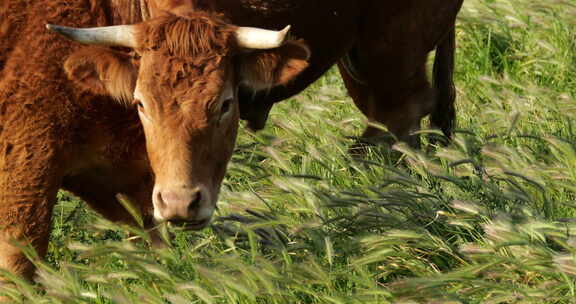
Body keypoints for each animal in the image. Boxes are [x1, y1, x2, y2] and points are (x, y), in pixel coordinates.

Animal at [0, 0, 460, 280]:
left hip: (391, 48)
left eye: (225, 103)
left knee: (399, 121)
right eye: (141, 102)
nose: (182, 203)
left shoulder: (27, 168)